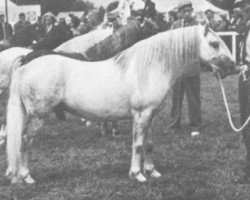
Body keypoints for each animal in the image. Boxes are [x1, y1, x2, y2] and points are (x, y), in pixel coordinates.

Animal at [5, 25, 234, 184]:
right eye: (214, 43)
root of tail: (25, 66)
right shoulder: (141, 114)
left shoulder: (150, 116)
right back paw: (26, 177)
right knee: (25, 143)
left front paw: (152, 171)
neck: (149, 67)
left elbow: (149, 144)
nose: (232, 67)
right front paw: (137, 174)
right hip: (37, 117)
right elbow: (138, 145)